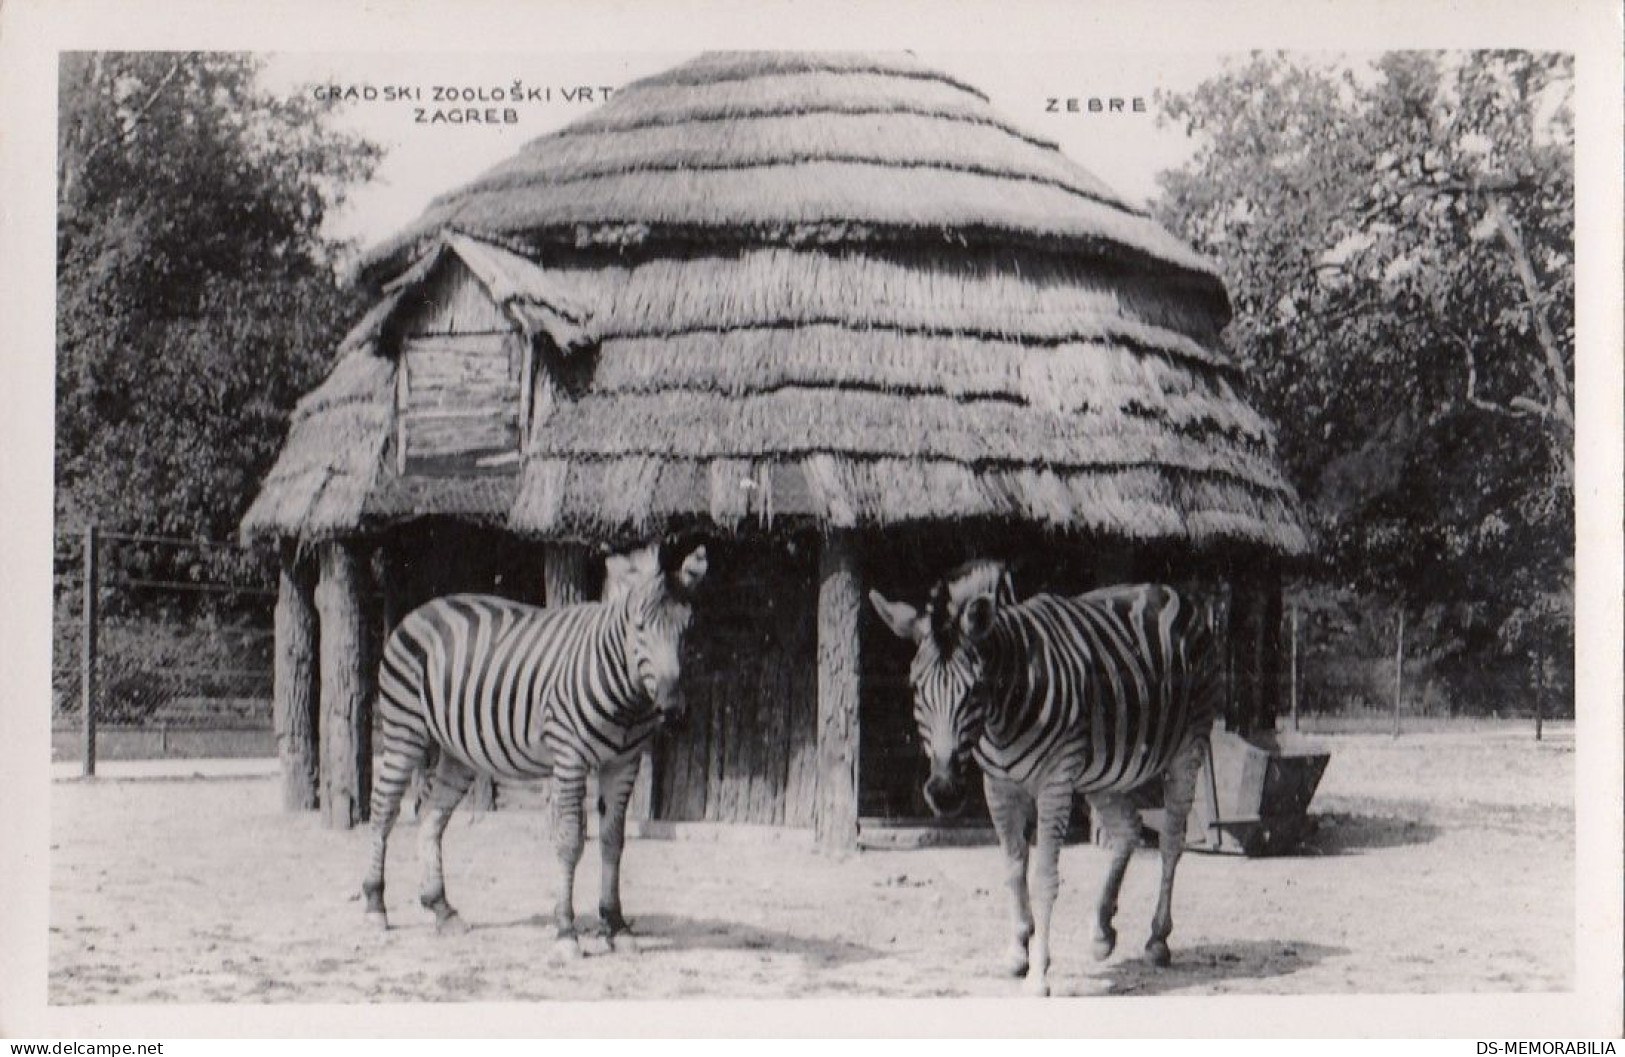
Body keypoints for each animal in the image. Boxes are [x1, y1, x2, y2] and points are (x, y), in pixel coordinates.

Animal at [365, 539, 708, 956]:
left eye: (689, 629)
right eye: (639, 627)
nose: (673, 710)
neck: (625, 696)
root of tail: (421, 610)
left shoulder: (624, 763)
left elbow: (613, 842)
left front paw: (616, 925)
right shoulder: (570, 756)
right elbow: (570, 841)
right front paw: (566, 930)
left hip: (457, 752)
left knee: (431, 816)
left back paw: (442, 909)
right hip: (404, 731)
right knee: (383, 811)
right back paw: (375, 906)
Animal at [871, 562, 1215, 995]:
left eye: (976, 689)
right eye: (916, 688)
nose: (945, 793)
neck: (1002, 714)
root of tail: (1169, 590)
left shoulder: (1055, 781)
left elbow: (1044, 877)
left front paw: (1038, 973)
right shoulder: (997, 785)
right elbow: (1012, 868)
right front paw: (1018, 950)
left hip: (1189, 742)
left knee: (1170, 840)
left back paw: (1157, 939)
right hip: (1102, 772)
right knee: (1128, 829)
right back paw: (1101, 932)